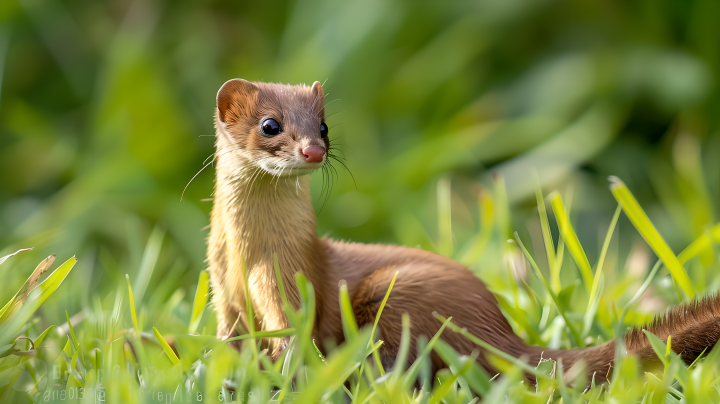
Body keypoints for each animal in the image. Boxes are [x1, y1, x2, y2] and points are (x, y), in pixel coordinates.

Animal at [205, 79, 720, 386]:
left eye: (325, 126)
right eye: (270, 124)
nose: (313, 150)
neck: (249, 254)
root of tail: (501, 329)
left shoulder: (287, 279)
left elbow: (295, 335)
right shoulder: (223, 287)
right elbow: (232, 337)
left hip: (397, 290)